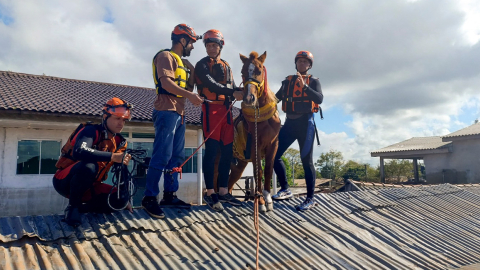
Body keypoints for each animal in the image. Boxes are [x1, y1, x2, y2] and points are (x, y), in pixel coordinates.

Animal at [226, 51, 282, 213]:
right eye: (242, 72)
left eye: (259, 70)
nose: (249, 98)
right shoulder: (255, 145)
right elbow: (259, 172)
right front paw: (261, 201)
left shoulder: (273, 144)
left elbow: (268, 169)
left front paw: (268, 199)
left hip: (239, 164)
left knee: (230, 182)